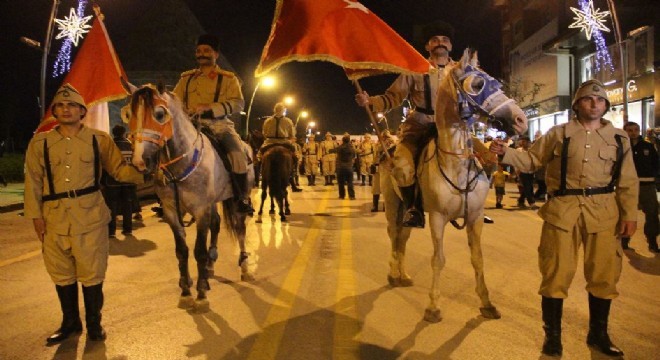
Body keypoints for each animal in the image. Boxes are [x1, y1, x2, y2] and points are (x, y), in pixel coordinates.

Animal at [124, 84, 255, 312]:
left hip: (239, 199)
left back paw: (244, 267)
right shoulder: (172, 212)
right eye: (130, 114)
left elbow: (199, 251)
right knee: (216, 224)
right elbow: (182, 251)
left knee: (240, 230)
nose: (140, 161)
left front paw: (201, 294)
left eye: (160, 114)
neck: (181, 163)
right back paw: (210, 266)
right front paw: (186, 292)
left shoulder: (200, 210)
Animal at [378, 48, 528, 324]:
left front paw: (487, 303)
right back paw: (394, 273)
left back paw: (403, 275)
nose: (521, 120)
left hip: (409, 210)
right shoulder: (437, 217)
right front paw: (433, 307)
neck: (455, 163)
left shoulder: (475, 217)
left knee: (402, 237)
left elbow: (478, 259)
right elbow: (438, 260)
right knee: (394, 234)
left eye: (497, 84)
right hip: (394, 203)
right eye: (477, 85)